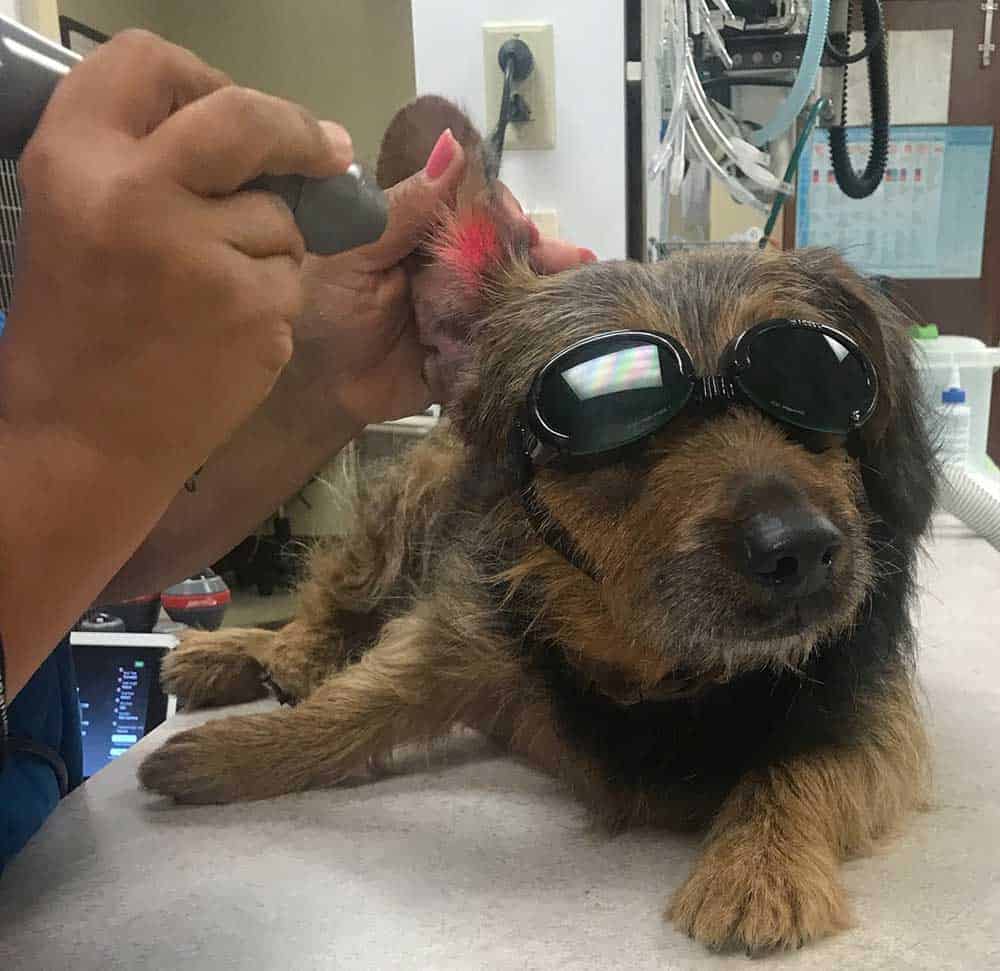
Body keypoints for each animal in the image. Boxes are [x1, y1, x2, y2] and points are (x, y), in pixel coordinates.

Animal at [141, 100, 936, 956]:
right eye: (614, 413)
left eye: (817, 383)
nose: (802, 547)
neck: (664, 669)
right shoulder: (454, 636)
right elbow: (352, 703)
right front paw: (237, 750)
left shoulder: (871, 714)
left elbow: (800, 762)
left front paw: (759, 866)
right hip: (398, 522)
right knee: (333, 608)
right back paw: (254, 652)